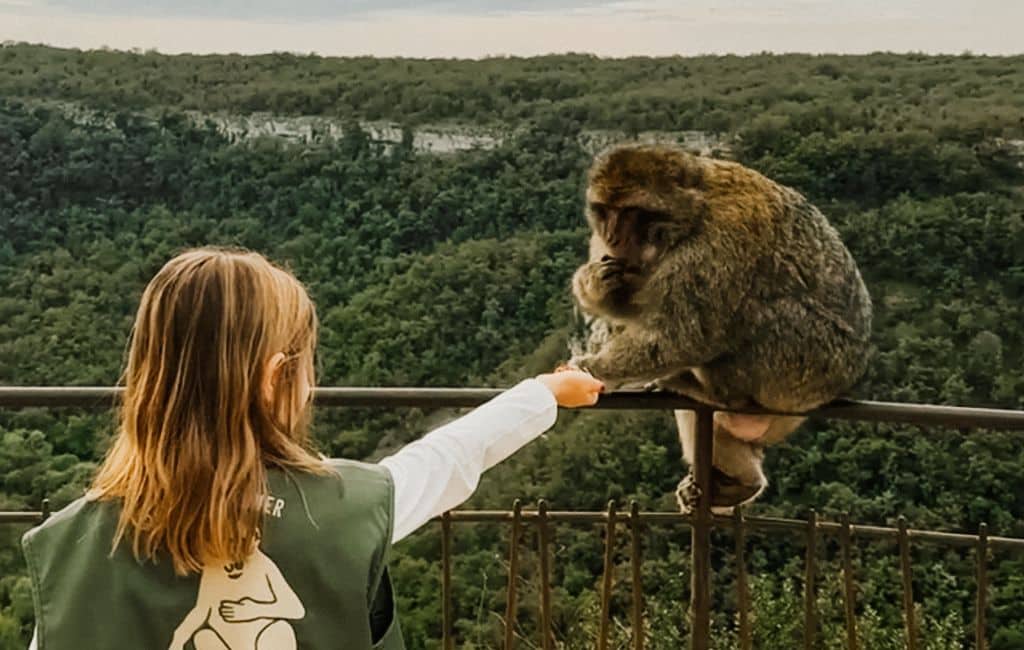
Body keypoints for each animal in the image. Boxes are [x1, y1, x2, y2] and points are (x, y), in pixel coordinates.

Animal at [568, 143, 873, 513]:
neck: (691, 216)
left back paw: (713, 392)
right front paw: (594, 284)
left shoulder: (716, 247)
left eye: (631, 212)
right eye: (604, 210)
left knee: (752, 315)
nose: (611, 236)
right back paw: (744, 481)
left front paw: (593, 369)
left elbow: (682, 336)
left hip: (805, 369)